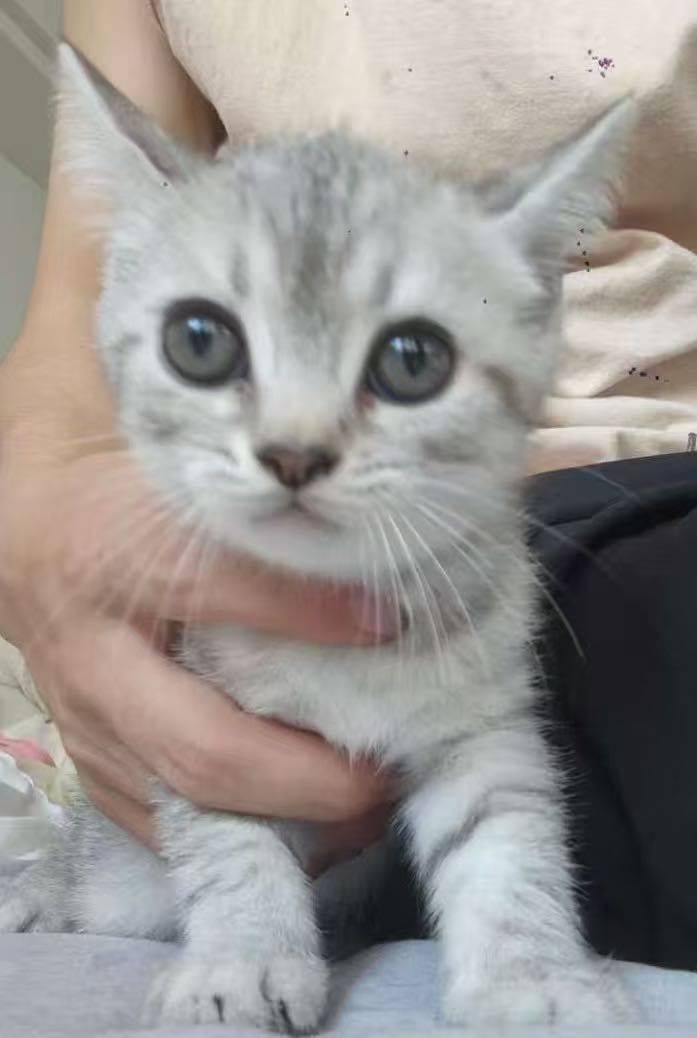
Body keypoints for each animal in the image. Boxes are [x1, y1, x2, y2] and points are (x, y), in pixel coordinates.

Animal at [0, 43, 638, 1033]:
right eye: (198, 341)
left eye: (413, 360)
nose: (294, 452)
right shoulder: (200, 732)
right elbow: (234, 847)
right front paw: (245, 960)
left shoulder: (484, 726)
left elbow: (504, 840)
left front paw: (532, 980)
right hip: (116, 880)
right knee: (80, 874)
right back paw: (32, 897)